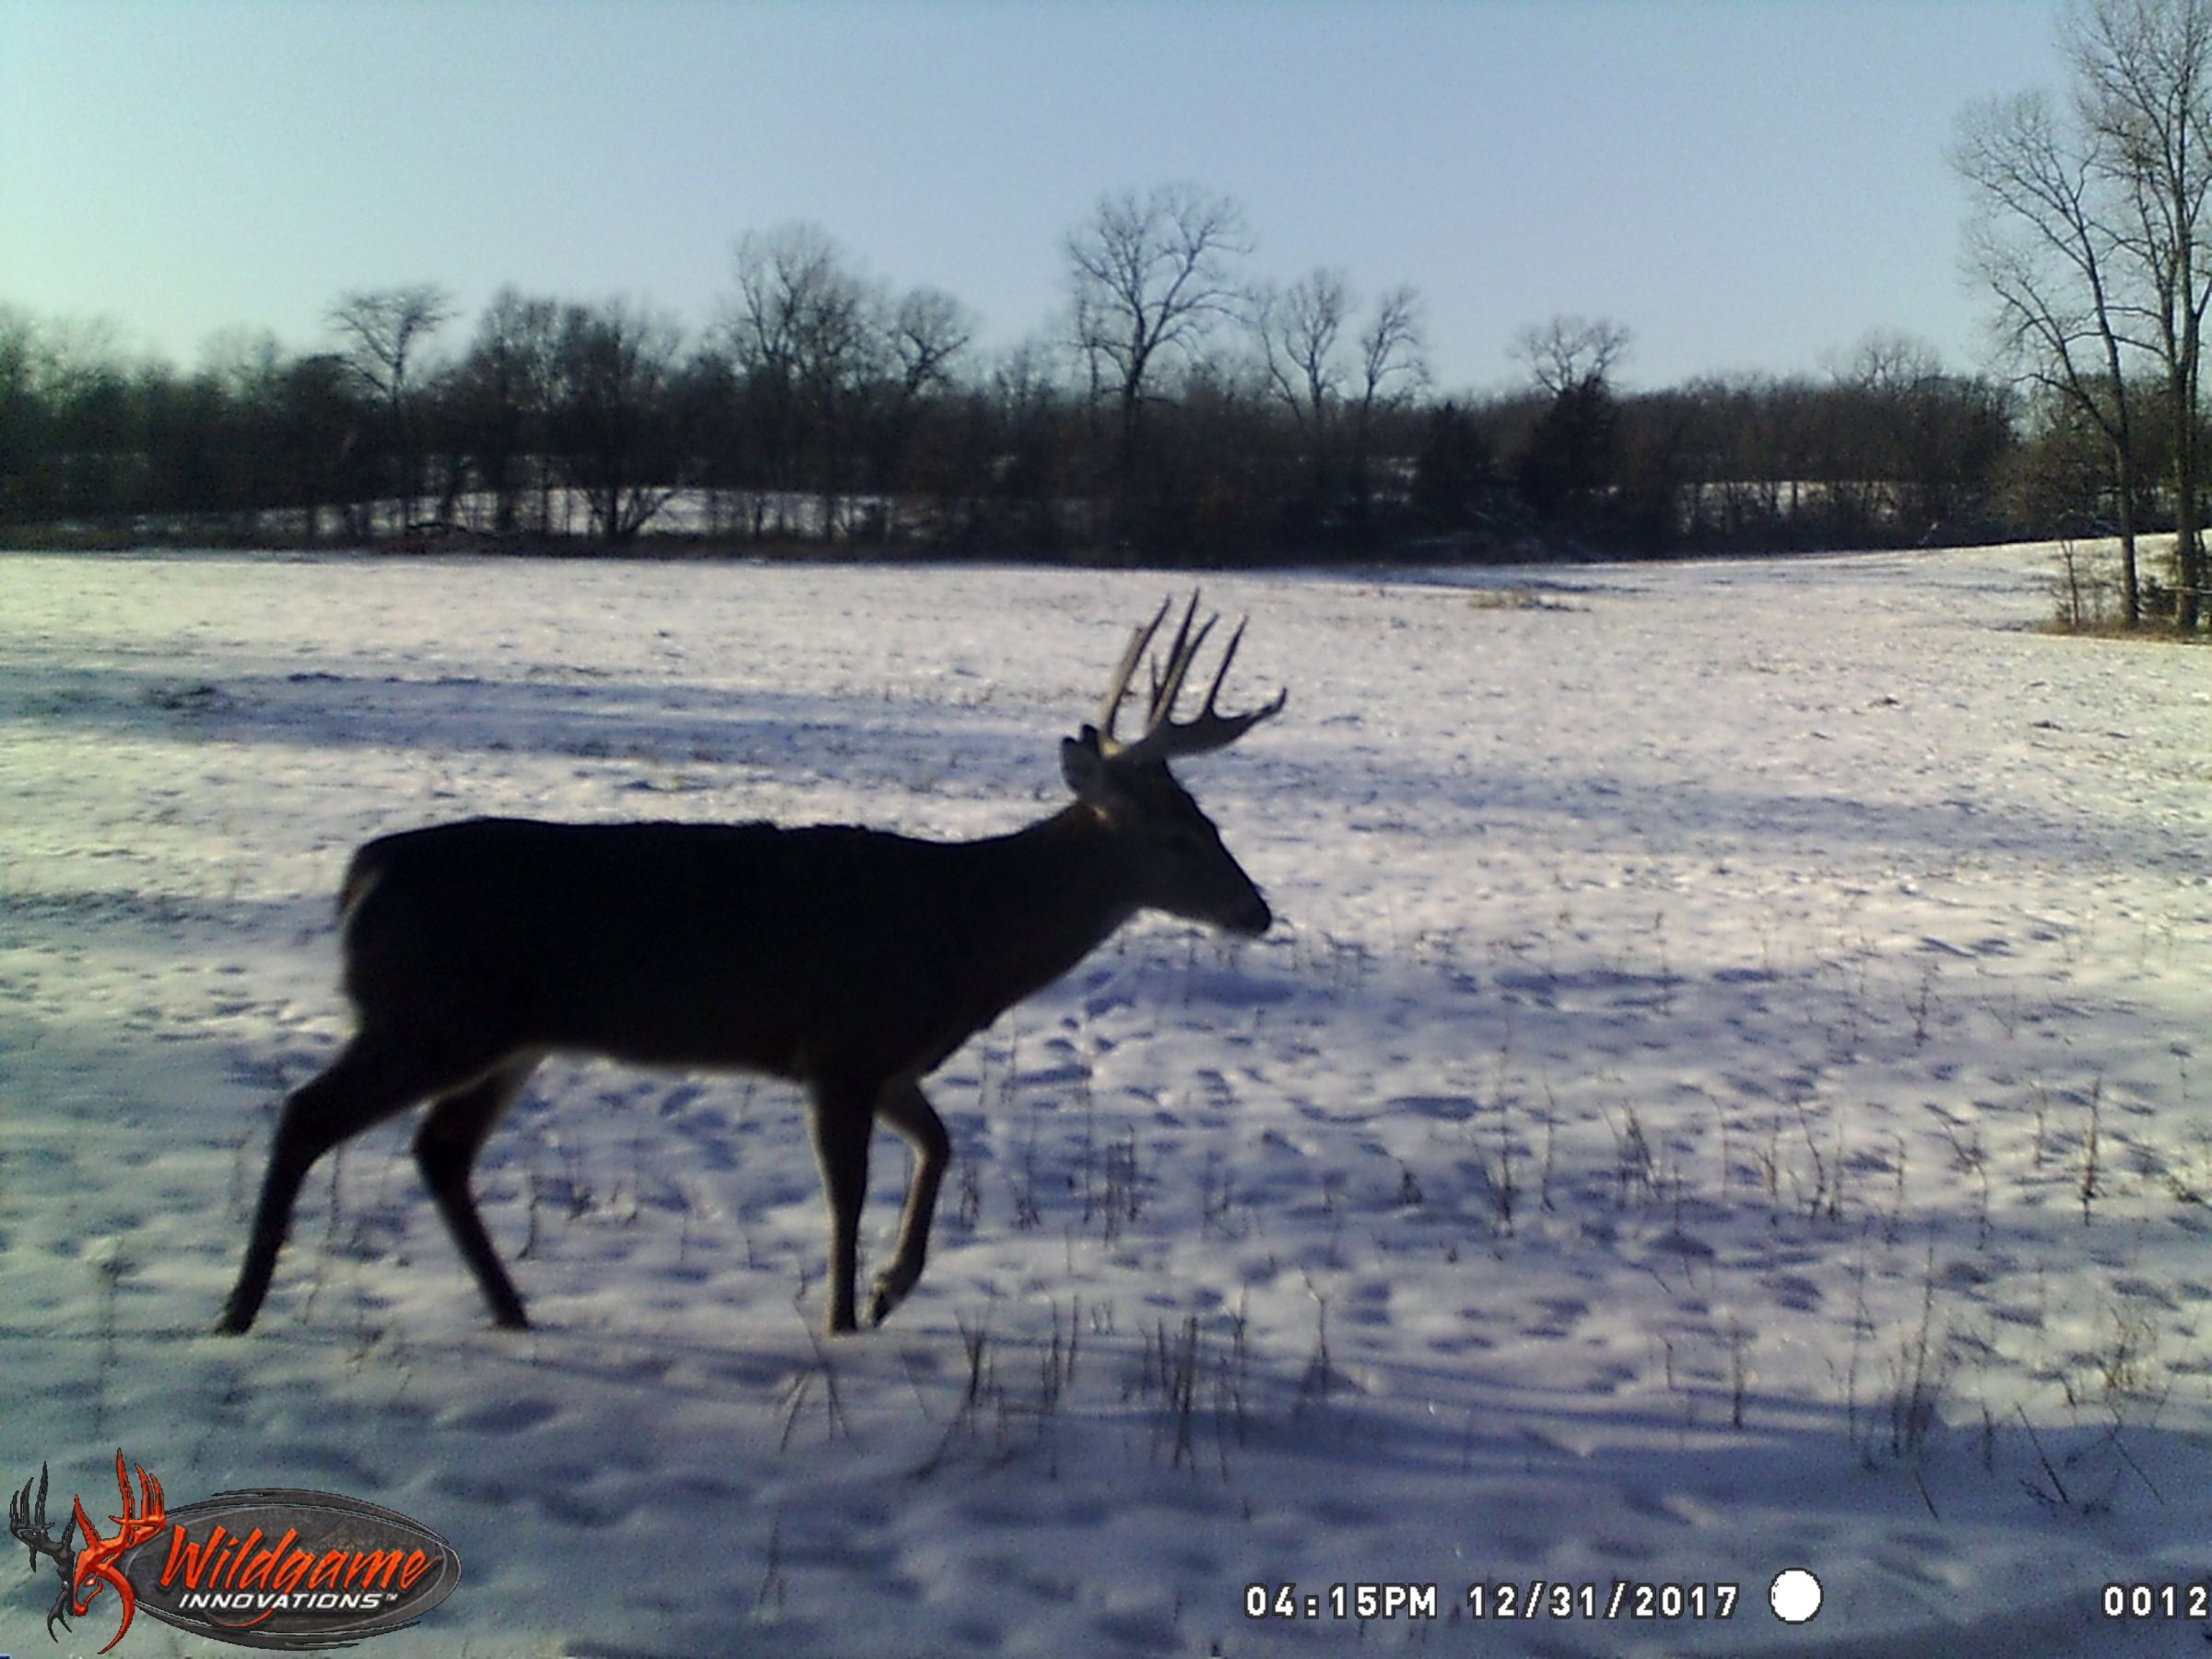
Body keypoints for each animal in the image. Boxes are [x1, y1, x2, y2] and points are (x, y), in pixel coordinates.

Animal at [216, 593, 1291, 1335]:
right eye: (1182, 834)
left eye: (1209, 819)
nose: (1259, 909)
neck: (966, 934)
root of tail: (363, 871)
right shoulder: (840, 1047)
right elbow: (847, 1193)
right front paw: (845, 1319)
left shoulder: (884, 1060)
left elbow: (942, 1147)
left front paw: (892, 1291)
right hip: (429, 1015)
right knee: (306, 1113)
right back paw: (240, 1310)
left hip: (500, 1038)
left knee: (440, 1150)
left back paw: (515, 1313)